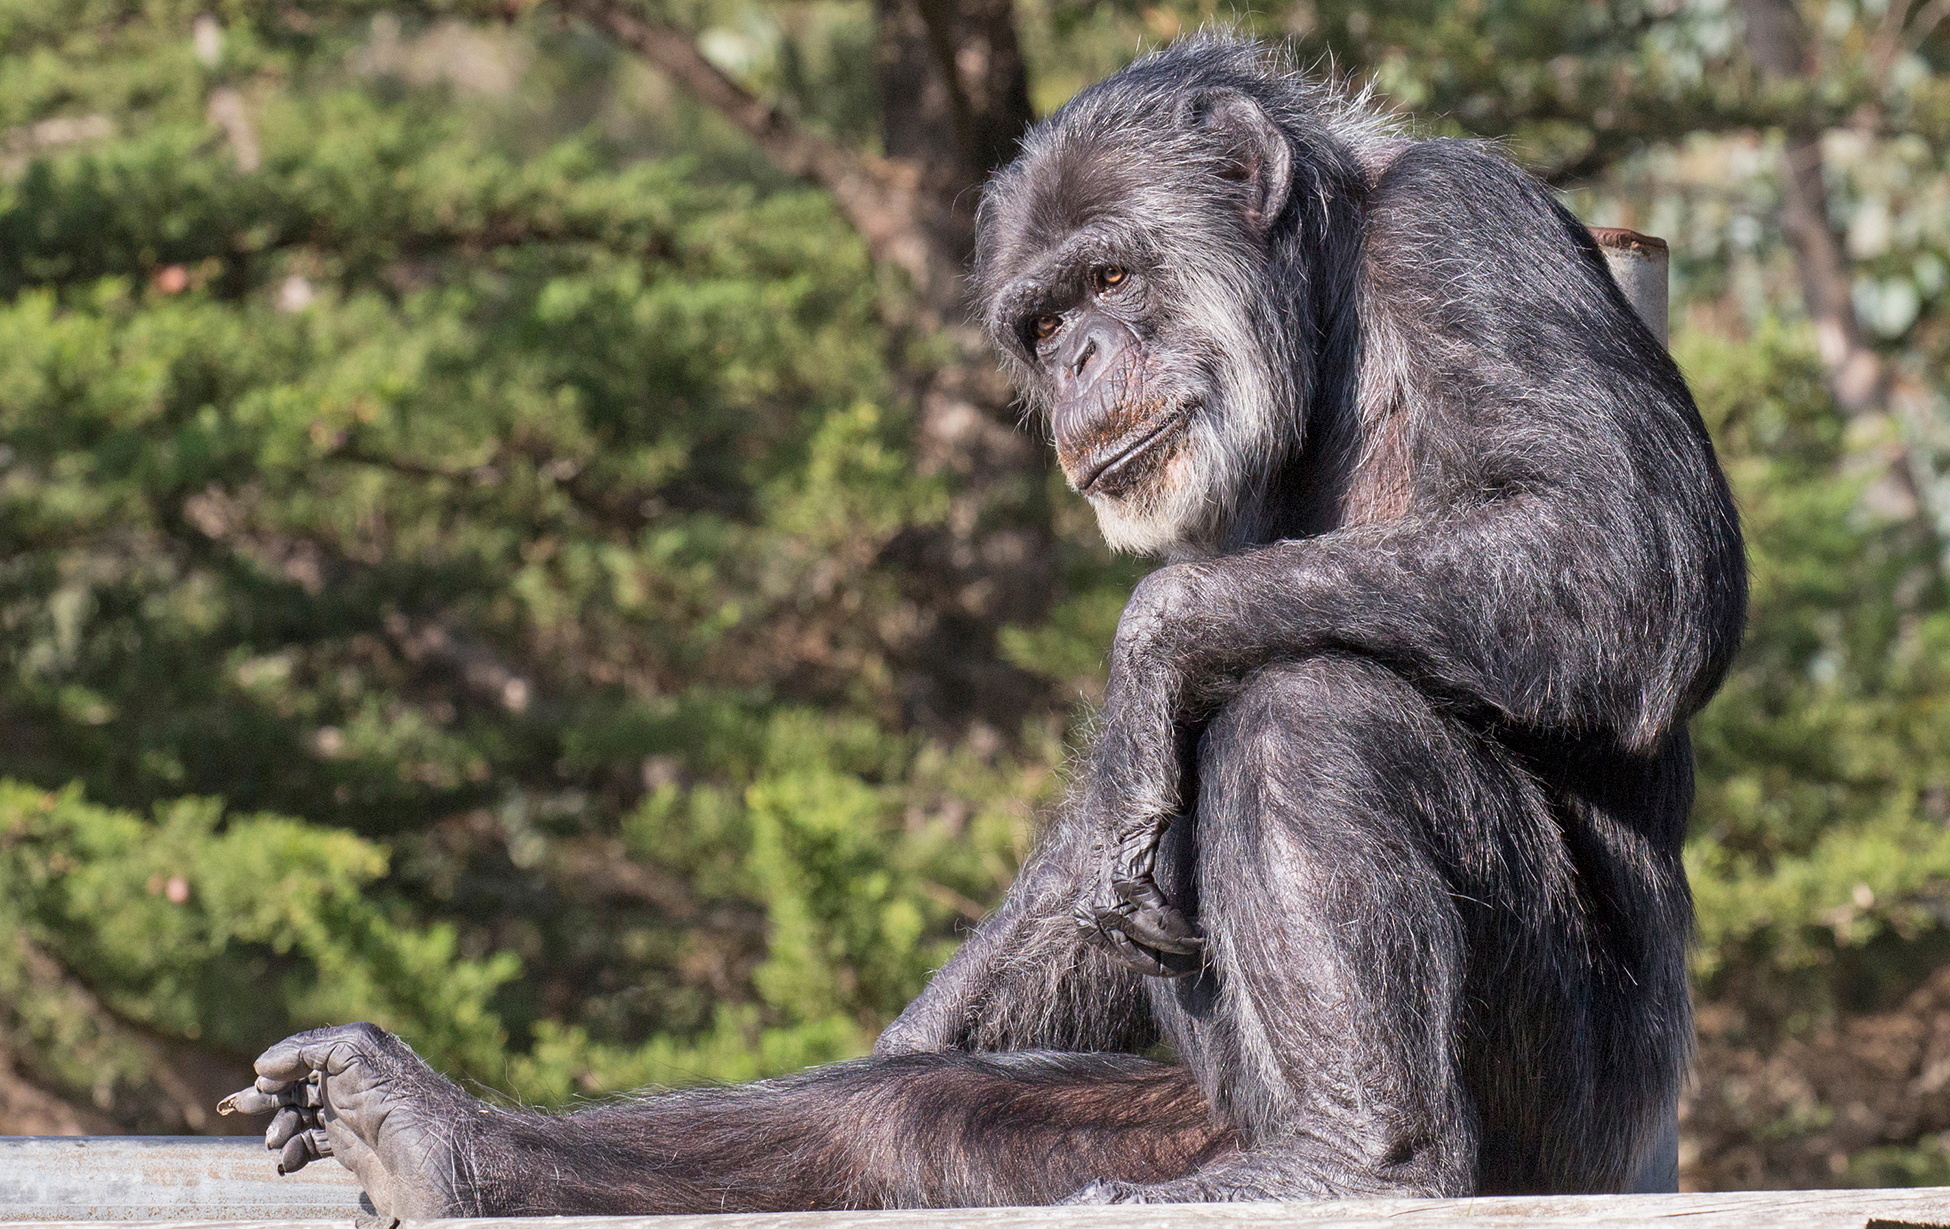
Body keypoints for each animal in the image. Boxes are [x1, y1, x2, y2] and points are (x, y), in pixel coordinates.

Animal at [221, 33, 1747, 1217]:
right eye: (1043, 319)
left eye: (1114, 281)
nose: (1079, 360)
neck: (1323, 311)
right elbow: (1088, 858)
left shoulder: (1466, 226)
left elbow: (1626, 553)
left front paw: (1148, 650)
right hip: (1188, 1116)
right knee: (904, 1117)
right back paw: (434, 1139)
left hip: (1570, 1119)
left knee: (1313, 700)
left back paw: (1354, 1162)